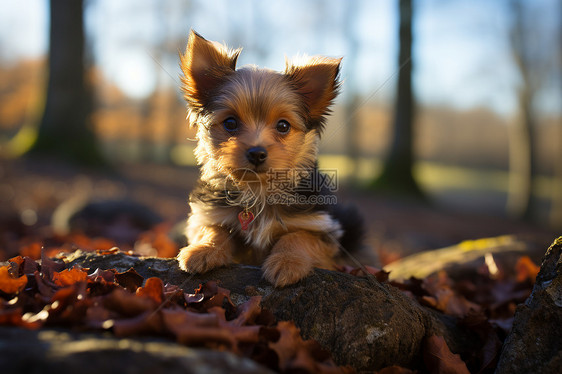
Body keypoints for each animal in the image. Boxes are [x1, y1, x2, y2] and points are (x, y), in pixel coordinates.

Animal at [176, 31, 364, 286]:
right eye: (230, 123)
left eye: (283, 126)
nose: (256, 152)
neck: (259, 190)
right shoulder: (209, 215)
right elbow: (215, 230)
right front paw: (203, 250)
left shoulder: (320, 228)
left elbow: (298, 237)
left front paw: (287, 262)